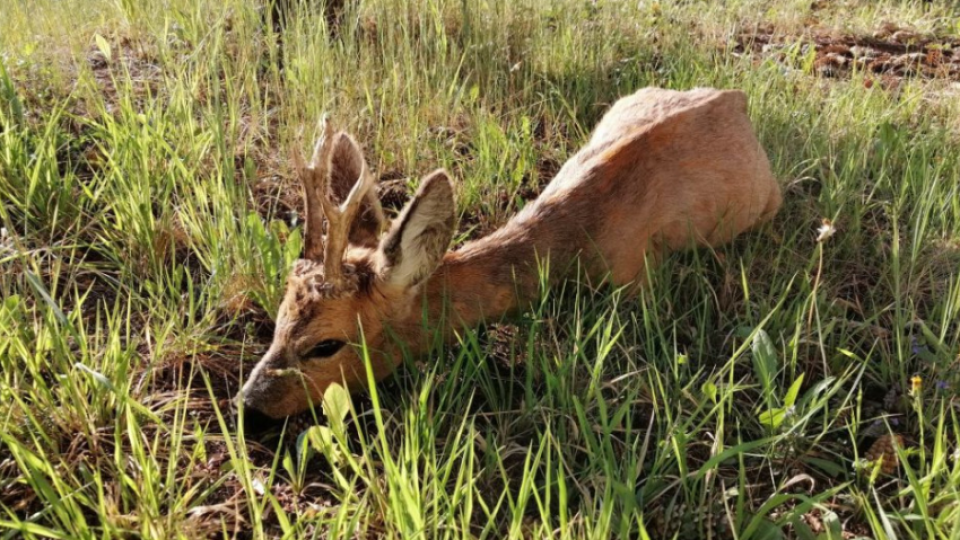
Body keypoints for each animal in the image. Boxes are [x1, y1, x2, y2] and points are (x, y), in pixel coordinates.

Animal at [238, 87, 780, 418]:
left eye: (326, 344)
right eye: (277, 320)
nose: (247, 403)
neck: (575, 239)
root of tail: (739, 98)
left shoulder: (636, 276)